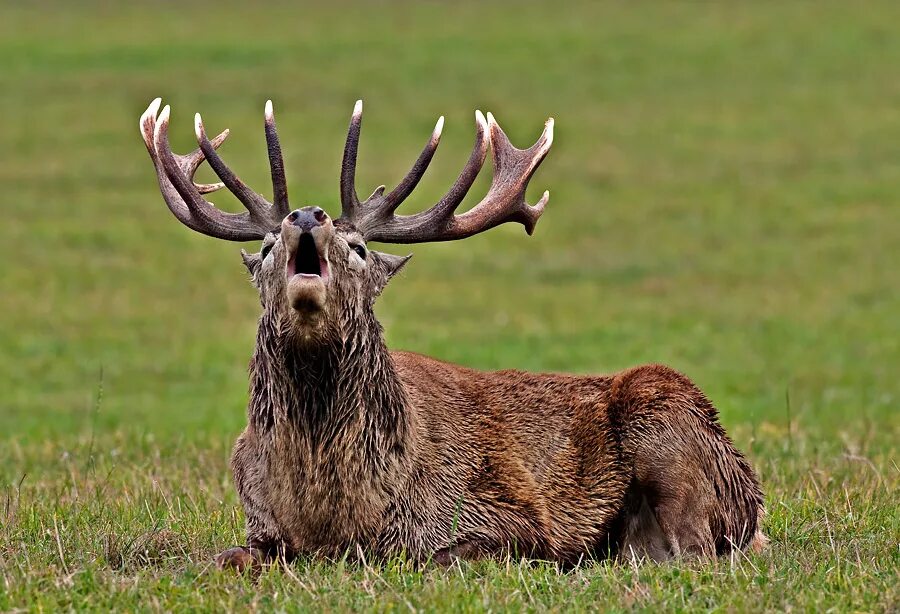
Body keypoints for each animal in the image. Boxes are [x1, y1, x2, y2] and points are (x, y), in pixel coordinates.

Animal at [137, 98, 764, 576]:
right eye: (265, 247)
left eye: (359, 247)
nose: (307, 215)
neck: (332, 515)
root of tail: (751, 493)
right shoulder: (259, 524)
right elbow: (225, 558)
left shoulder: (507, 510)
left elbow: (443, 556)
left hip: (667, 413)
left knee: (695, 551)